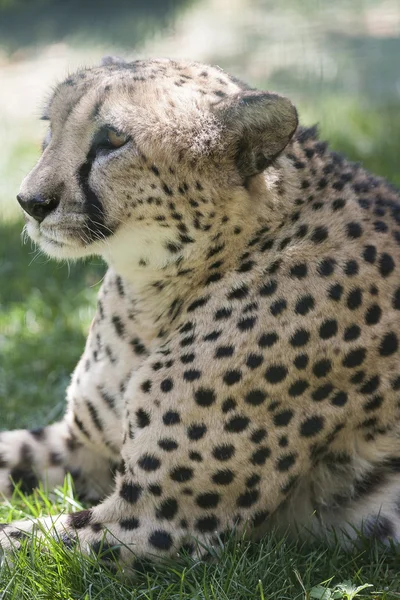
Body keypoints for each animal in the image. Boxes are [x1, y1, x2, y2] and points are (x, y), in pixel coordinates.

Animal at [0, 55, 400, 572]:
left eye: (113, 140)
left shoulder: (159, 519)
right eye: (51, 126)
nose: (30, 202)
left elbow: (14, 540)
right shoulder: (83, 448)